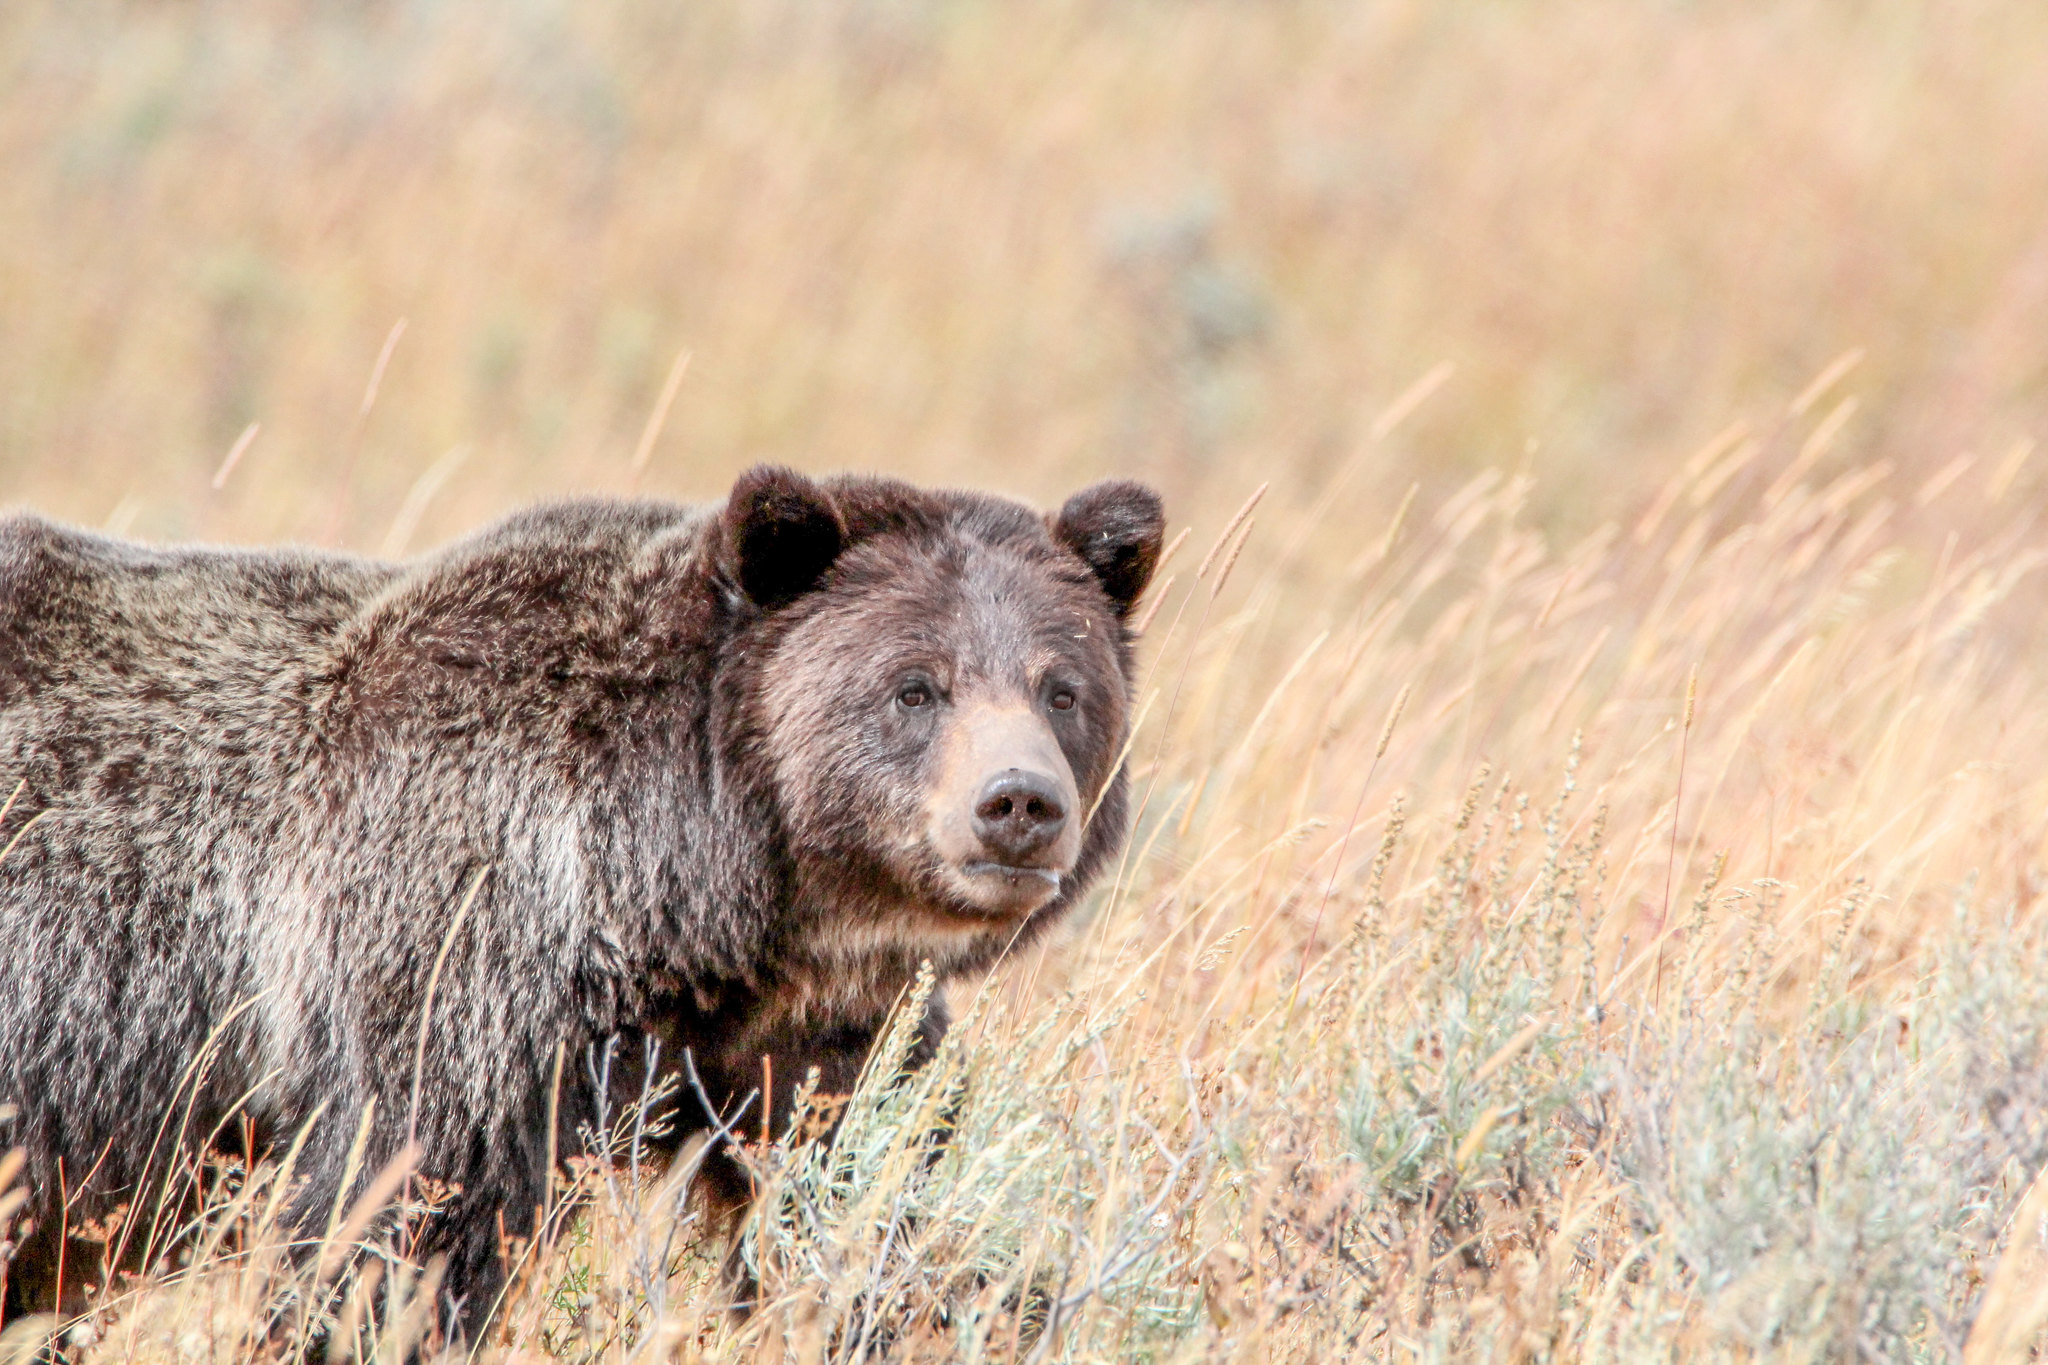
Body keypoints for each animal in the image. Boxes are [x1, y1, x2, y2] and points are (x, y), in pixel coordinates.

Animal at [0, 466, 1164, 1343]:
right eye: (914, 686)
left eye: (1061, 688)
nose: (1018, 804)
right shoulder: (448, 959)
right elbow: (395, 1228)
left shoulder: (811, 1039)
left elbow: (872, 1201)